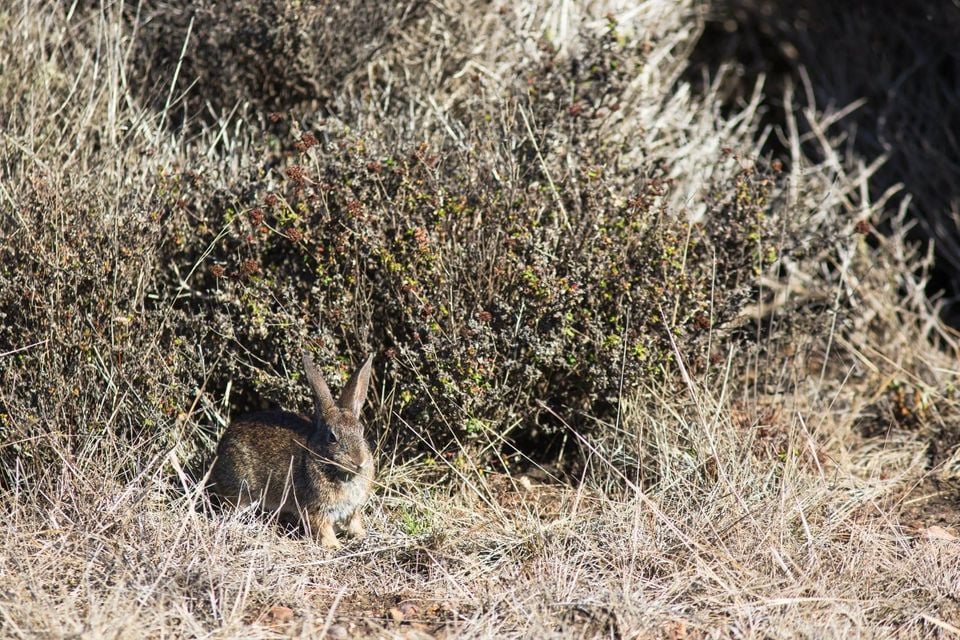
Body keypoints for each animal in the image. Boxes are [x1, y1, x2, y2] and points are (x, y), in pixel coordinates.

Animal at [207, 351, 375, 548]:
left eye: (361, 431)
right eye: (332, 437)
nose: (359, 461)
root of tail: (220, 449)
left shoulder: (352, 510)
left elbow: (354, 524)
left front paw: (362, 536)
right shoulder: (316, 510)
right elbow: (323, 530)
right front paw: (334, 547)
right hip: (240, 490)